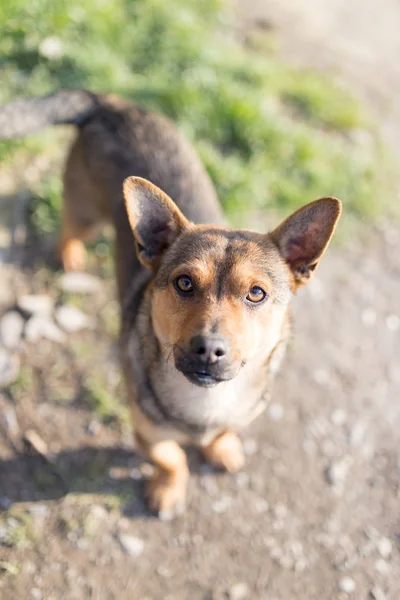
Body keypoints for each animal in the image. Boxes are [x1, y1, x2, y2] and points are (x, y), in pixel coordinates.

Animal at [0, 89, 340, 516]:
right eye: (184, 283)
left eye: (256, 293)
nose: (209, 349)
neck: (206, 400)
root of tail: (112, 103)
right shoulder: (146, 431)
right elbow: (171, 458)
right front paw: (167, 488)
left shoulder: (245, 411)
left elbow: (222, 433)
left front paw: (222, 448)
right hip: (85, 213)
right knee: (68, 228)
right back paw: (70, 256)